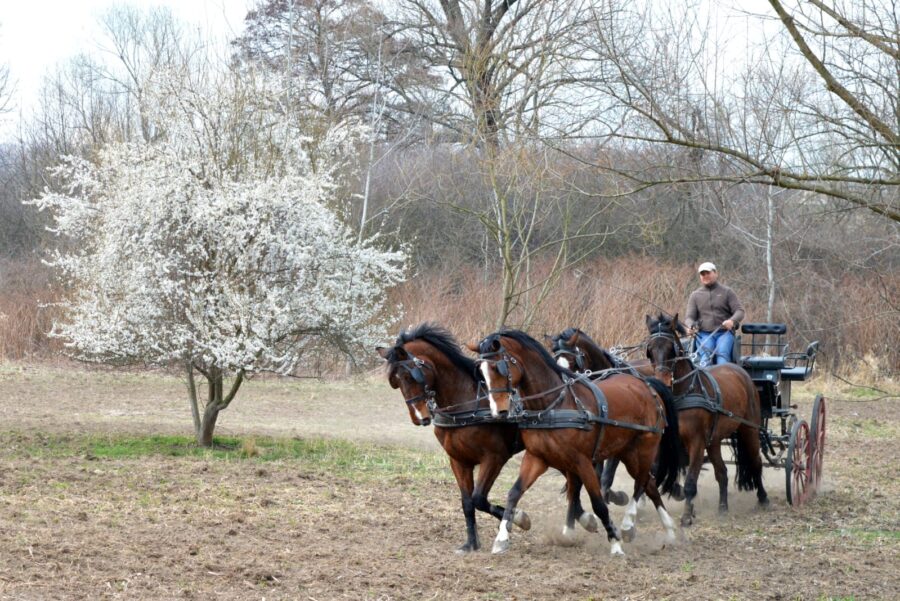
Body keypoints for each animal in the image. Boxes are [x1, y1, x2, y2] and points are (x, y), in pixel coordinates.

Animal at [376, 324, 600, 552]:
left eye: (411, 376)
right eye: (395, 382)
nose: (419, 417)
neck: (467, 404)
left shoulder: (494, 458)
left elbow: (479, 499)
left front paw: (519, 518)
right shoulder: (458, 460)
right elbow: (467, 502)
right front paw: (471, 544)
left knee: (575, 481)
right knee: (572, 480)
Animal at [472, 328, 684, 552]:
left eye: (499, 368)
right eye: (481, 372)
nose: (499, 410)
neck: (554, 405)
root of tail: (647, 384)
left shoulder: (583, 461)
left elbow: (598, 503)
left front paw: (615, 543)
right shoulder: (537, 458)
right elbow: (514, 493)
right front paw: (502, 538)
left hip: (643, 448)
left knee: (642, 482)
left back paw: (628, 524)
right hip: (626, 452)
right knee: (649, 484)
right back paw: (669, 531)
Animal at [644, 312, 768, 524]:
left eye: (671, 349)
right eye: (650, 351)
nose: (661, 382)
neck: (682, 394)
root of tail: (740, 370)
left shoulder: (696, 442)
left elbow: (690, 481)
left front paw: (687, 516)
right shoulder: (666, 442)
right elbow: (655, 472)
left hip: (749, 429)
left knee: (756, 463)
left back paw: (763, 498)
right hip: (714, 440)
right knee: (722, 473)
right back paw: (723, 507)